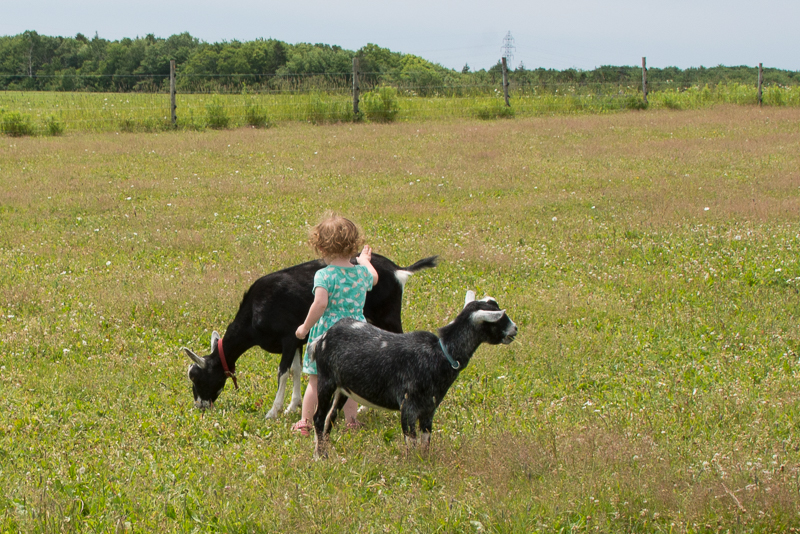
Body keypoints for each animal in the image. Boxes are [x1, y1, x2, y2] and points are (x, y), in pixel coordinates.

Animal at [183, 255, 438, 418]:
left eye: (196, 377)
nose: (200, 406)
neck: (255, 311)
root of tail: (398, 270)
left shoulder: (288, 338)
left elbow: (283, 372)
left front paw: (273, 411)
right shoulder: (297, 340)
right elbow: (296, 370)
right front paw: (292, 406)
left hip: (389, 317)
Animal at [310, 292, 516, 458]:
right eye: (498, 318)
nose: (515, 329)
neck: (440, 354)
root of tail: (322, 338)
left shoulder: (429, 409)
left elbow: (425, 440)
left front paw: (424, 462)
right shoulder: (408, 405)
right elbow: (411, 440)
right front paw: (412, 464)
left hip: (343, 388)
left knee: (330, 417)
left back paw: (326, 450)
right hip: (326, 380)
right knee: (319, 417)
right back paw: (320, 456)